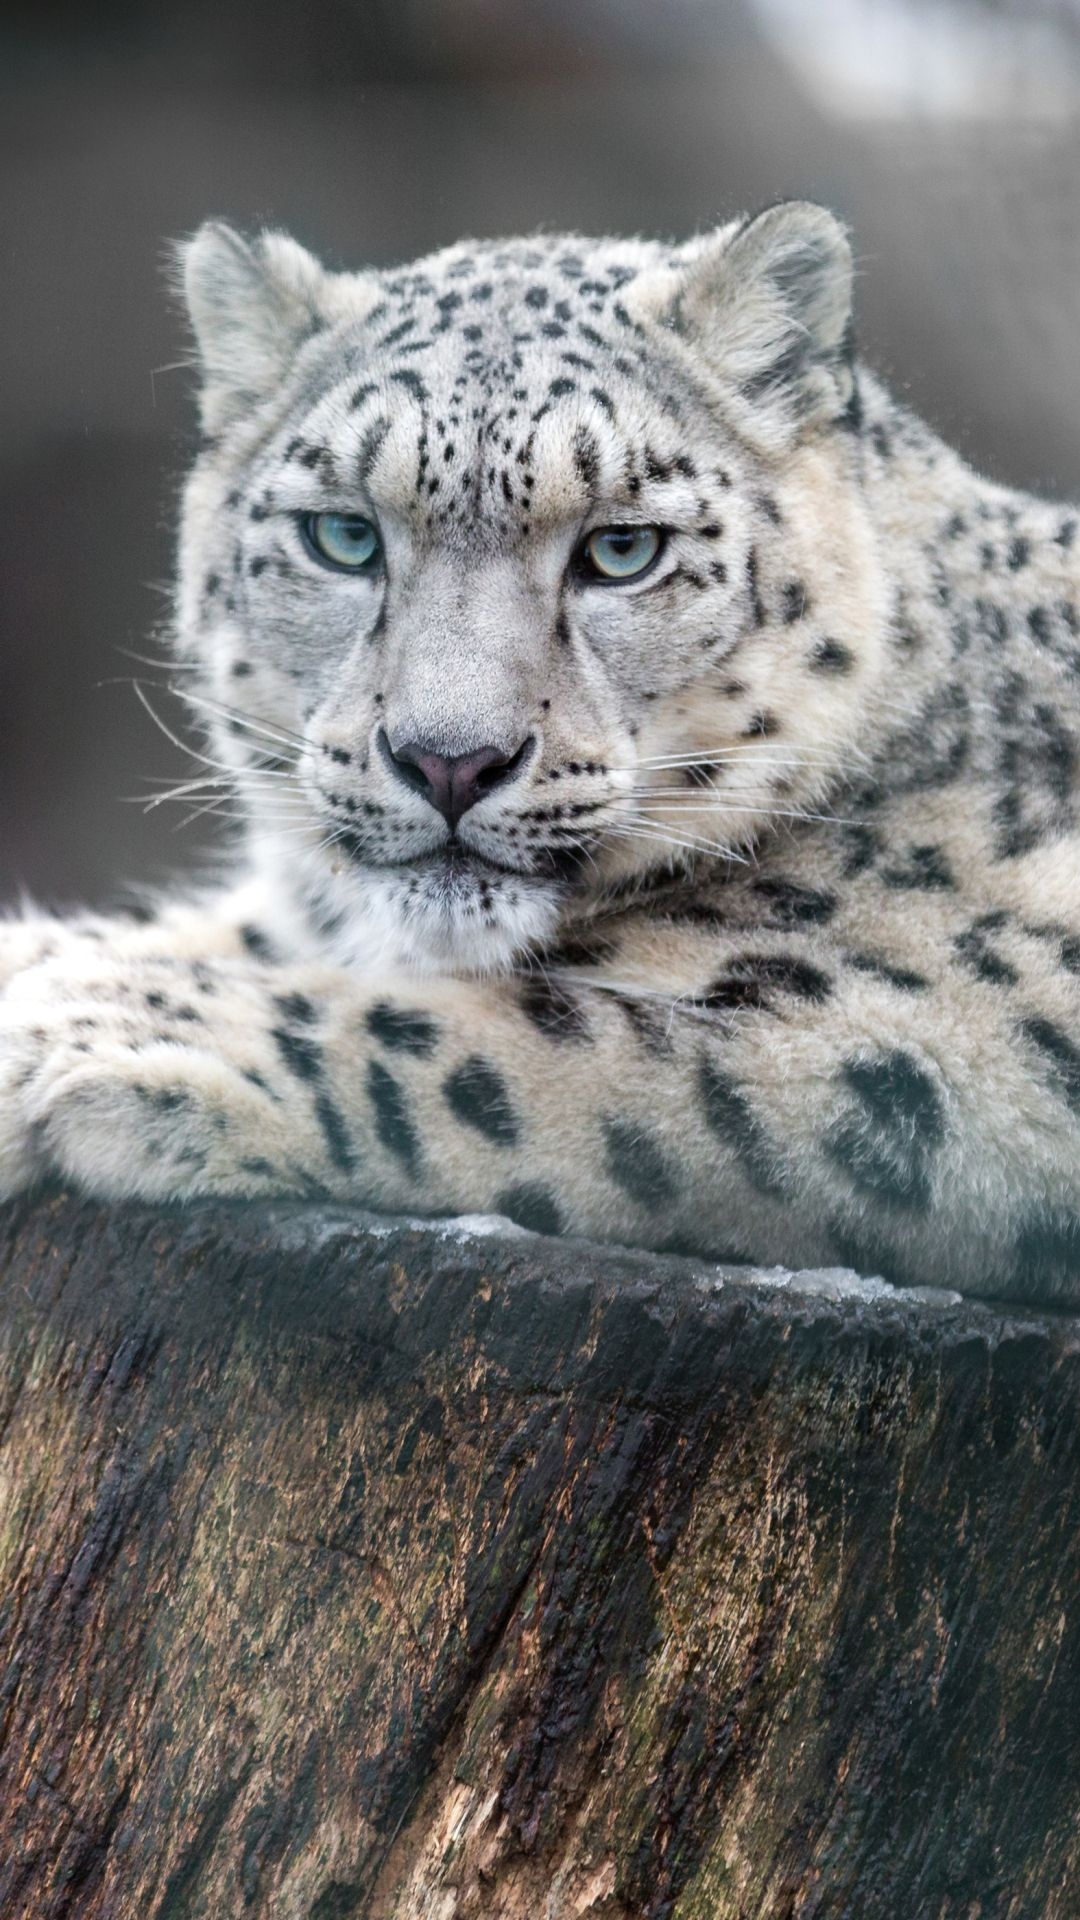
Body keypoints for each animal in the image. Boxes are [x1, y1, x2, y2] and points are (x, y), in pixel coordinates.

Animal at [3, 199, 1080, 1302]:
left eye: (623, 549)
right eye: (343, 536)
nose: (449, 761)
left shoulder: (954, 1024)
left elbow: (528, 1041)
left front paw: (87, 1026)